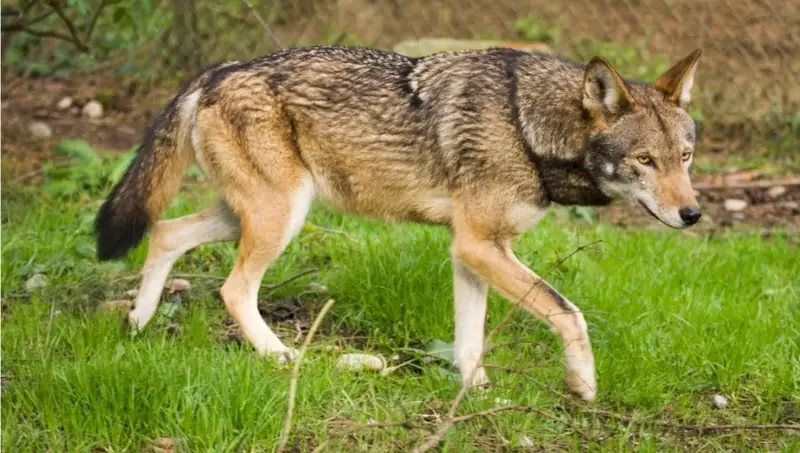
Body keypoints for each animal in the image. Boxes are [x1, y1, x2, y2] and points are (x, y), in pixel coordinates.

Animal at [95, 45, 703, 401]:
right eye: (645, 161)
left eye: (685, 158)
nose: (693, 214)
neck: (526, 125)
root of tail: (216, 70)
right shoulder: (480, 245)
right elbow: (569, 313)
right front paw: (583, 385)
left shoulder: (471, 250)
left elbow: (469, 342)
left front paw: (474, 394)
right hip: (279, 219)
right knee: (232, 287)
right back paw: (280, 356)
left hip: (257, 215)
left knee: (164, 232)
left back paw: (139, 322)